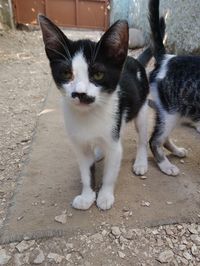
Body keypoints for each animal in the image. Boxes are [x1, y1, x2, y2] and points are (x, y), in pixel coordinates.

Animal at [38, 15, 150, 210]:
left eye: (98, 75)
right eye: (66, 73)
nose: (79, 93)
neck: (89, 115)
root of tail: (134, 60)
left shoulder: (114, 139)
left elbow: (110, 171)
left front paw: (104, 196)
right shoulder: (80, 145)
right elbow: (86, 172)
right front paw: (87, 196)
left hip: (141, 109)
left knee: (142, 138)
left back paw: (141, 162)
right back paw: (98, 152)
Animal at [148, 0, 200, 177]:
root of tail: (166, 58)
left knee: (163, 137)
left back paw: (176, 151)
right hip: (171, 110)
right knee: (155, 139)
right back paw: (165, 165)